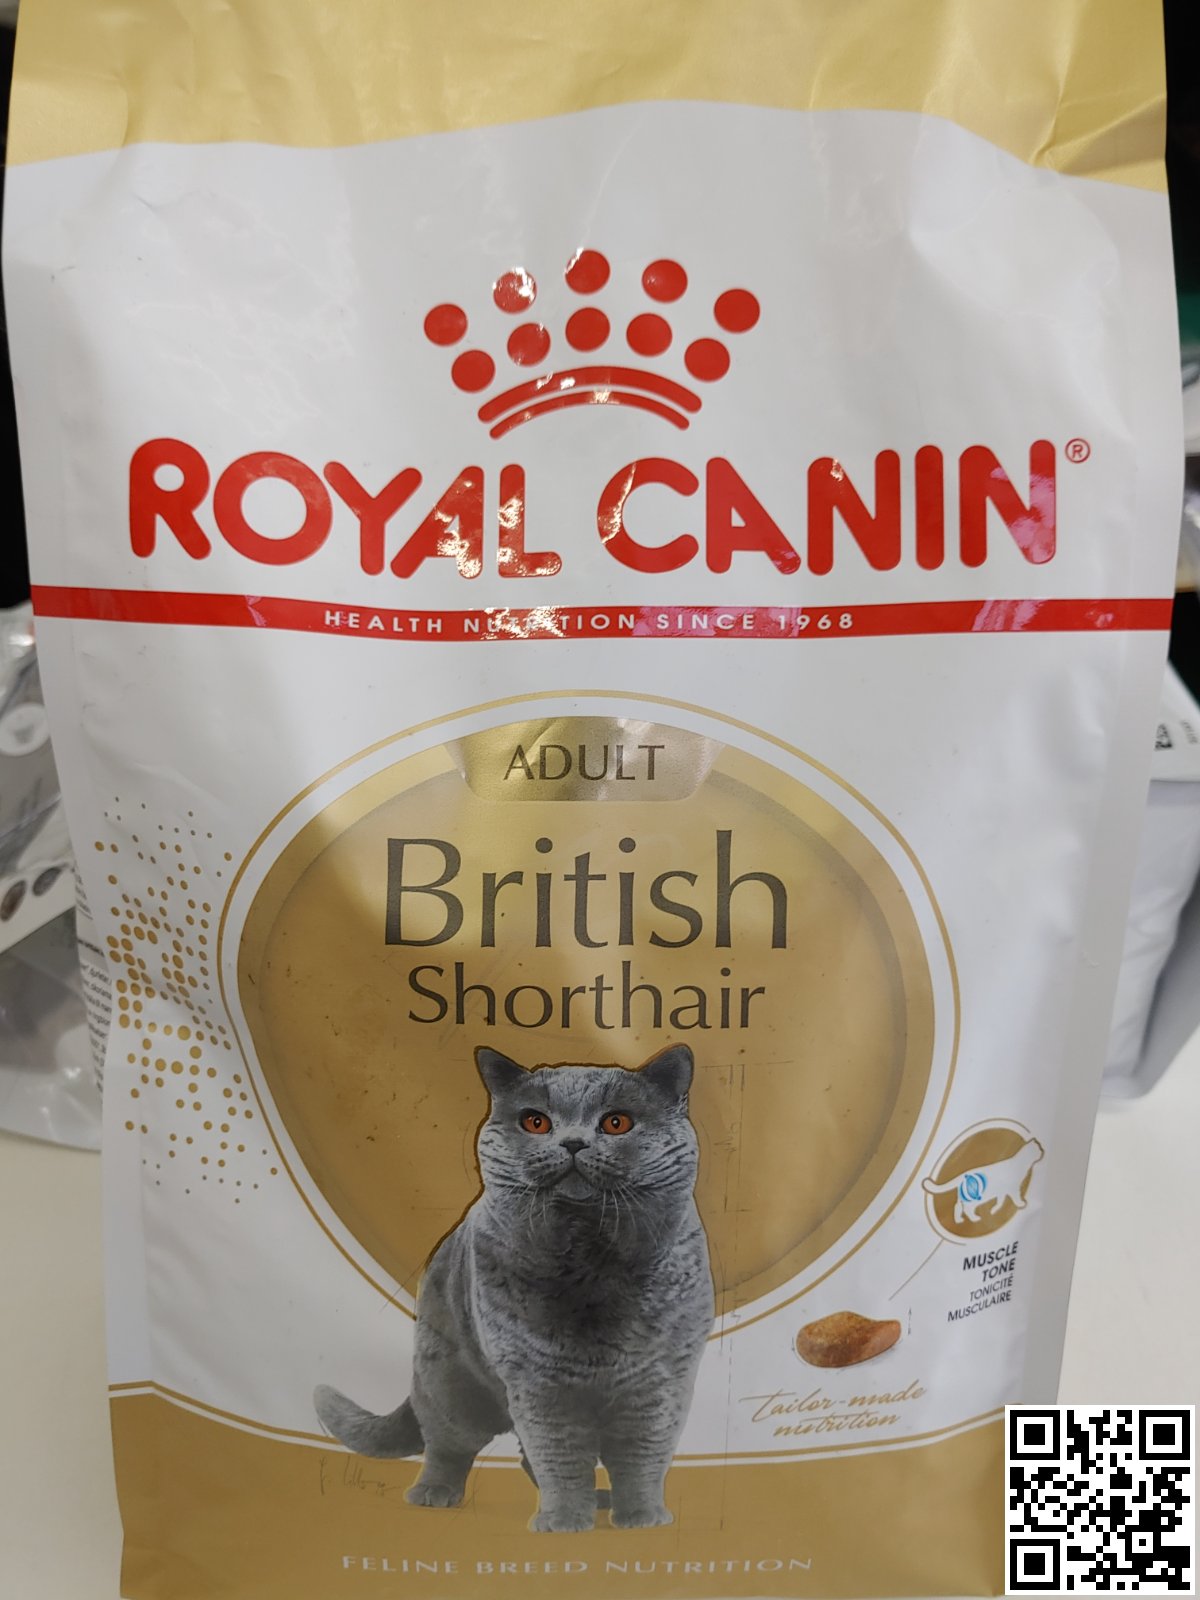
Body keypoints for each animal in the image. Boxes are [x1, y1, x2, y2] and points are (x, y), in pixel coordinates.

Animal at [314, 1043, 713, 1533]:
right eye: (535, 1122)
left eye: (617, 1122)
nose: (573, 1142)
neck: (591, 1265)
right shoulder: (540, 1383)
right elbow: (560, 1458)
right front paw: (564, 1521)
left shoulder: (658, 1384)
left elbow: (641, 1458)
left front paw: (641, 1517)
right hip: (451, 1379)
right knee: (447, 1442)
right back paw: (434, 1493)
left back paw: (598, 1500)